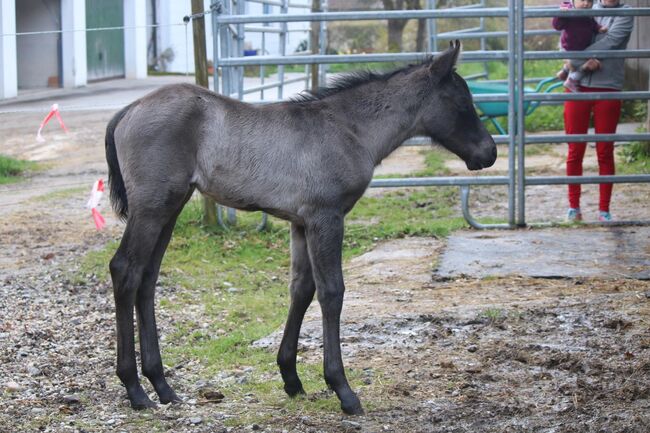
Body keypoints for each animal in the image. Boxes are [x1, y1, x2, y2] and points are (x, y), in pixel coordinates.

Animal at [105, 41, 492, 416]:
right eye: (462, 101)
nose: (489, 153)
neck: (348, 129)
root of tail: (129, 110)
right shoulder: (327, 217)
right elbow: (332, 292)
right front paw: (343, 390)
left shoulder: (301, 223)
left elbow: (301, 289)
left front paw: (291, 378)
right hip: (152, 208)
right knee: (125, 269)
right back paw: (135, 390)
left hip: (169, 209)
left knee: (147, 278)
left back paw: (162, 386)